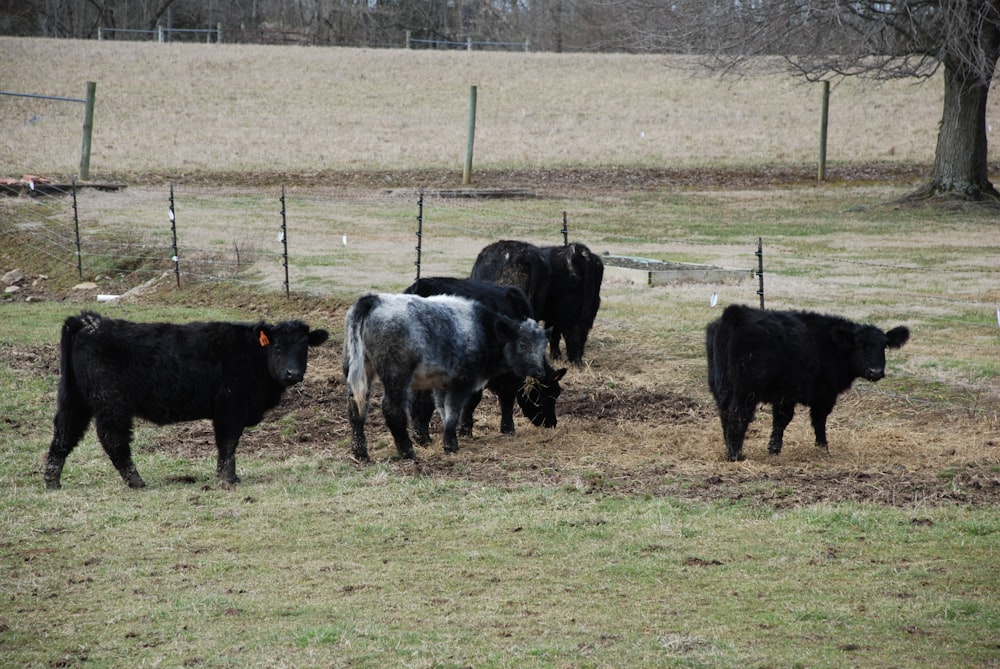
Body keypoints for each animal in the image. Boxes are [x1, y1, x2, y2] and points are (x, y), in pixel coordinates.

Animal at [44, 310, 328, 488]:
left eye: (304, 348)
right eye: (277, 347)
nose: (293, 373)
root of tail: (90, 322)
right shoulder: (230, 408)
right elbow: (228, 444)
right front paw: (228, 479)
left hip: (74, 400)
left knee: (64, 435)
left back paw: (52, 481)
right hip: (111, 404)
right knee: (113, 441)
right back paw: (136, 482)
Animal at [342, 292, 548, 460]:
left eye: (543, 345)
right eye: (523, 343)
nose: (540, 371)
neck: (482, 330)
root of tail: (374, 300)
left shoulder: (441, 385)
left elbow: (442, 410)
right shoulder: (460, 383)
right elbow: (452, 412)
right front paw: (451, 445)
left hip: (360, 371)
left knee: (356, 407)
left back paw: (360, 452)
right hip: (397, 377)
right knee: (392, 409)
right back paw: (407, 451)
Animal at [708, 306, 912, 462]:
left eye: (884, 345)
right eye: (859, 345)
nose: (875, 371)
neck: (834, 346)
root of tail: (735, 313)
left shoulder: (785, 394)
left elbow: (780, 420)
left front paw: (774, 449)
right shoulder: (824, 393)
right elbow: (818, 420)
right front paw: (823, 448)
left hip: (721, 388)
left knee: (725, 415)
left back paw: (729, 448)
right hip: (746, 391)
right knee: (737, 416)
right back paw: (736, 455)